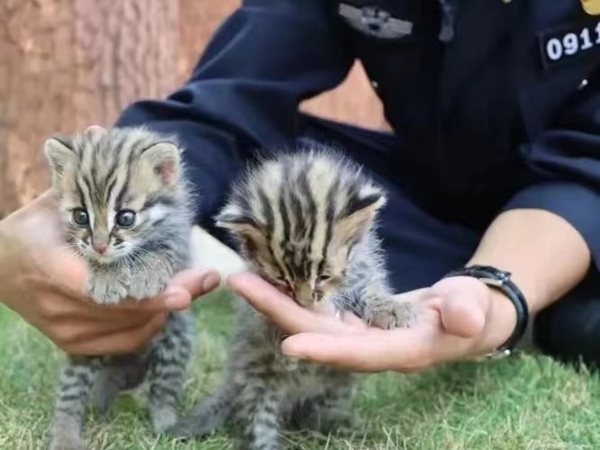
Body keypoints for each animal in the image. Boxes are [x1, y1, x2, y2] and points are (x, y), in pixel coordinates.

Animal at [44, 124, 195, 450]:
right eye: (81, 216)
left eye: (126, 218)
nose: (100, 246)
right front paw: (106, 277)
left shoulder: (180, 241)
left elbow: (164, 251)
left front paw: (147, 274)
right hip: (86, 350)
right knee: (71, 395)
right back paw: (67, 433)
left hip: (175, 337)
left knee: (163, 388)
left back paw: (165, 423)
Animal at [165, 149, 418, 448]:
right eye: (282, 279)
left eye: (323, 275)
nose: (305, 303)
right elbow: (265, 320)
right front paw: (283, 338)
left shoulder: (363, 269)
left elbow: (370, 290)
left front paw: (390, 308)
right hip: (256, 382)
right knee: (259, 425)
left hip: (336, 386)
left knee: (315, 417)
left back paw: (342, 427)